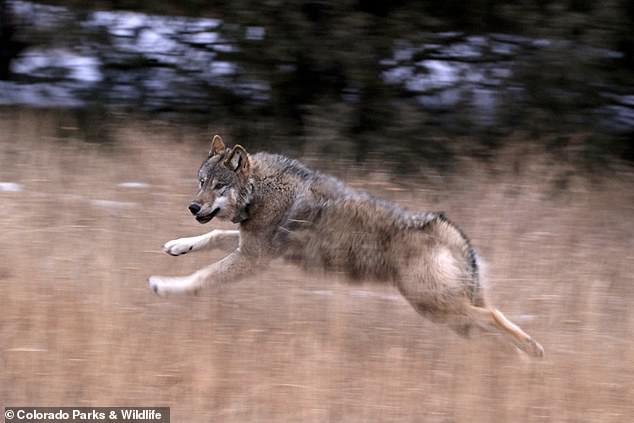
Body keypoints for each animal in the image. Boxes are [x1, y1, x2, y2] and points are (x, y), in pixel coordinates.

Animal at [148, 135, 544, 358]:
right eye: (201, 182)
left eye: (219, 186)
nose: (193, 207)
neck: (260, 190)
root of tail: (447, 228)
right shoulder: (250, 245)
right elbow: (212, 237)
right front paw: (177, 246)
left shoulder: (254, 257)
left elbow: (201, 278)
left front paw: (164, 286)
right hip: (450, 316)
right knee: (488, 323)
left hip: (435, 307)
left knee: (494, 316)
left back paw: (533, 351)